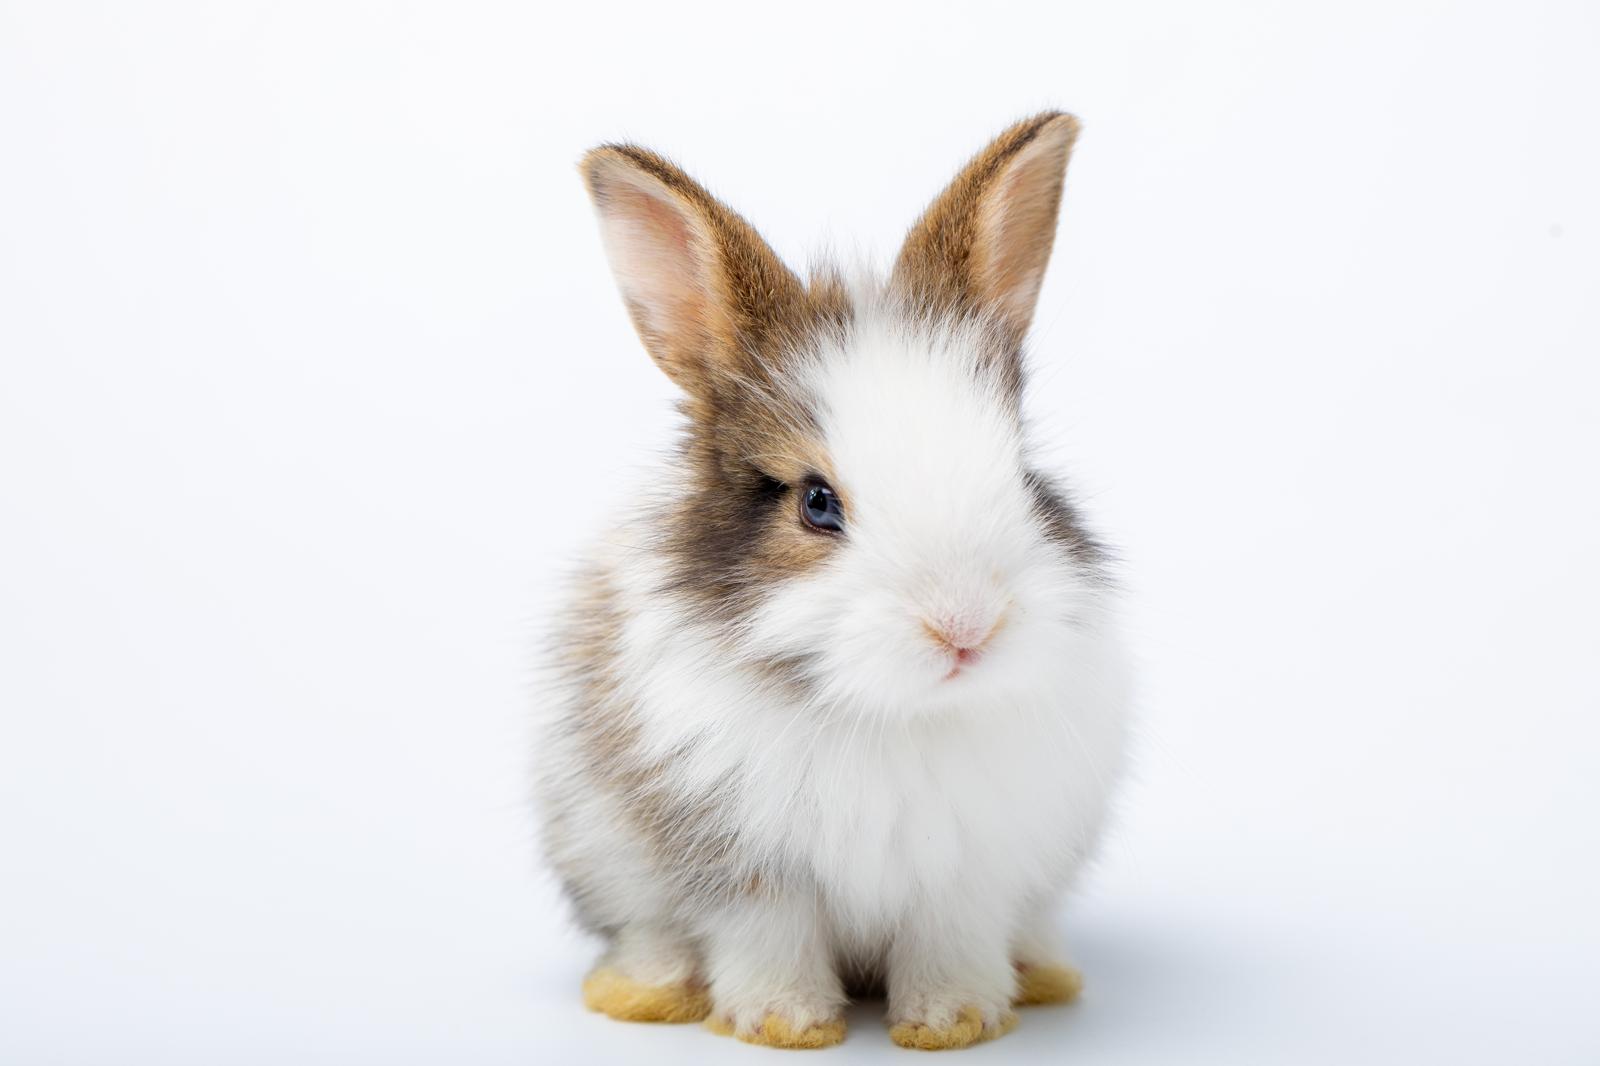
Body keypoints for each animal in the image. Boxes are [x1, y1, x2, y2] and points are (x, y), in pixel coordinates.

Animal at [535, 111, 1131, 1051]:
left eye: (1022, 475)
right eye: (818, 503)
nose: (967, 625)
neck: (894, 714)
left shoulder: (969, 872)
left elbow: (949, 942)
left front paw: (952, 1022)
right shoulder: (743, 869)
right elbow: (768, 940)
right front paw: (784, 1024)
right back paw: (643, 993)